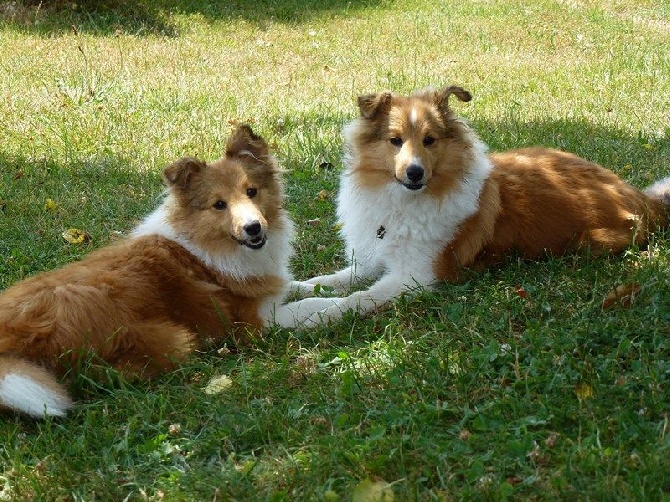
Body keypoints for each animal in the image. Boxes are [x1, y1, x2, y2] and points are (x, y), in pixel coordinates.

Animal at [0, 124, 308, 416]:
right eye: (219, 204)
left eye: (252, 191)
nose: (253, 228)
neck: (206, 243)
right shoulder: (256, 322)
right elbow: (311, 306)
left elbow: (301, 284)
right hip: (169, 338)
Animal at [284, 84, 670, 328]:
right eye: (395, 140)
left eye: (430, 140)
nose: (415, 172)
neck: (403, 202)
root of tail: (643, 198)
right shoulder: (369, 261)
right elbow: (326, 281)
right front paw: (290, 291)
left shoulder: (413, 278)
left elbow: (353, 300)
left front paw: (304, 316)